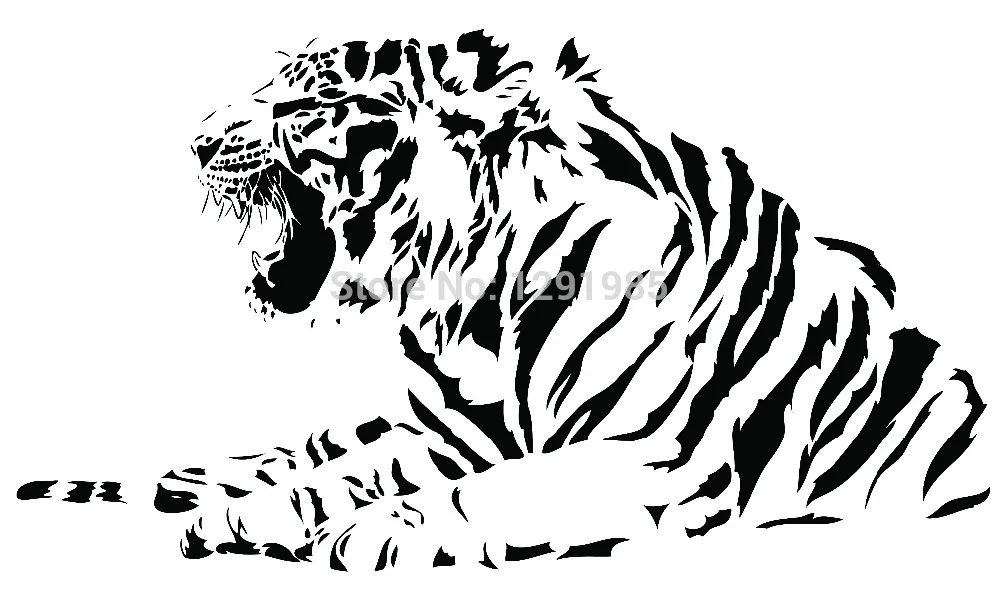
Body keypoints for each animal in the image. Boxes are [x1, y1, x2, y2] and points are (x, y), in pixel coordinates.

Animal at [17, 30, 990, 570]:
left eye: (311, 102)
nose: (193, 144)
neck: (470, 295)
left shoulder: (656, 457)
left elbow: (489, 491)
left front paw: (364, 535)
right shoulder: (456, 434)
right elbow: (336, 475)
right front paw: (242, 519)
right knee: (312, 444)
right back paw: (188, 486)